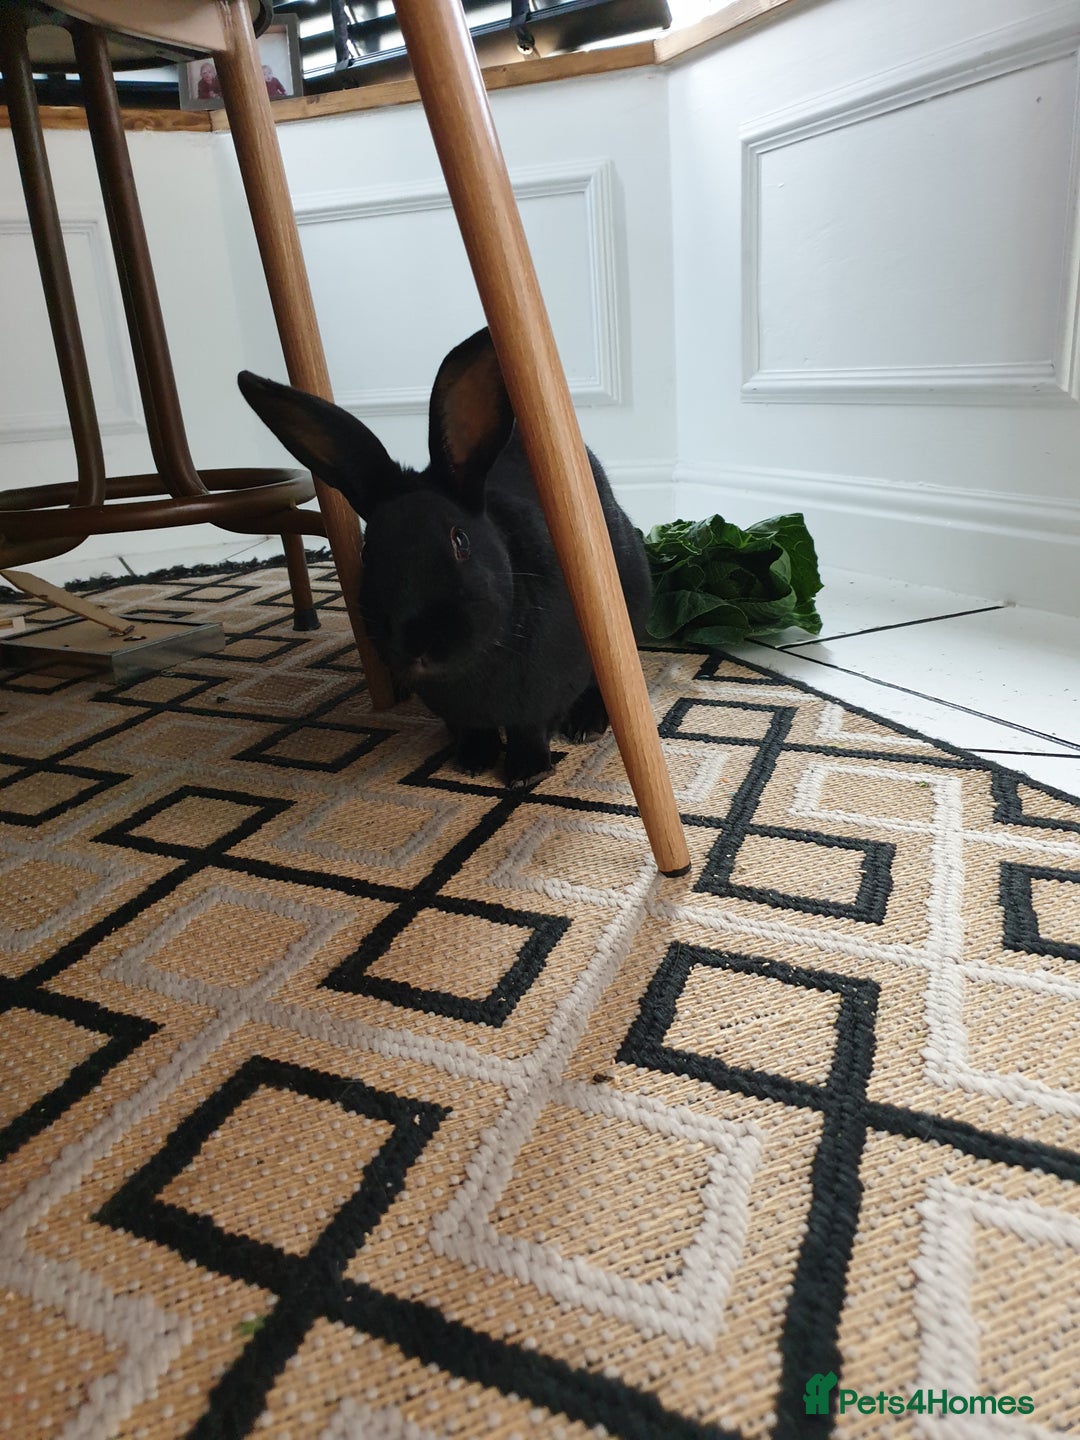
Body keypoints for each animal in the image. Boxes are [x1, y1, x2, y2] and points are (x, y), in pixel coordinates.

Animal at [238, 327, 652, 789]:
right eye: (368, 549)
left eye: (460, 541)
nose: (417, 642)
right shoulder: (459, 713)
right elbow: (473, 729)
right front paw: (471, 761)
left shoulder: (543, 694)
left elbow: (530, 728)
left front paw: (525, 773)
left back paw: (585, 726)